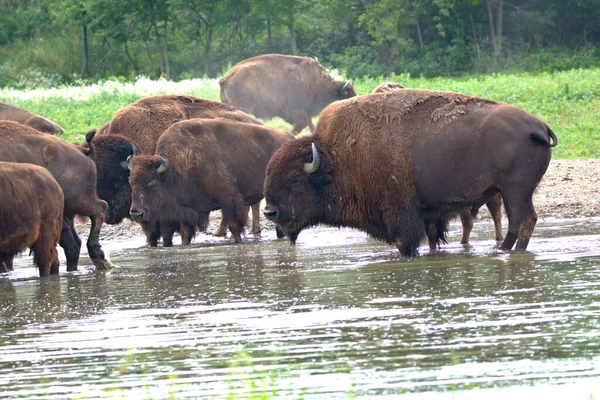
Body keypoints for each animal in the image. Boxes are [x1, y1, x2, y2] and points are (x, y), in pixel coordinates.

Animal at [0, 121, 113, 272]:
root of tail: (80, 150)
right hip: (64, 212)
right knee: (72, 244)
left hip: (78, 202)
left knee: (100, 208)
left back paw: (98, 256)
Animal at [128, 117, 296, 245]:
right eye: (131, 183)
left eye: (153, 184)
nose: (136, 213)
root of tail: (290, 138)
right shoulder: (188, 210)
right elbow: (185, 234)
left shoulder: (228, 199)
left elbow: (234, 226)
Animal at [218, 54, 356, 134]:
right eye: (346, 98)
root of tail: (228, 76)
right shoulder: (294, 110)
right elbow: (302, 123)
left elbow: (310, 124)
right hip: (245, 106)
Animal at [264, 88, 556, 256]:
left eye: (294, 181)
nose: (270, 212)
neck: (336, 157)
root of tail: (539, 125)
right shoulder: (428, 215)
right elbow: (433, 239)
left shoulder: (400, 217)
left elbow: (408, 244)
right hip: (511, 192)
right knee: (521, 221)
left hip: (515, 190)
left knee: (522, 220)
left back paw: (509, 253)